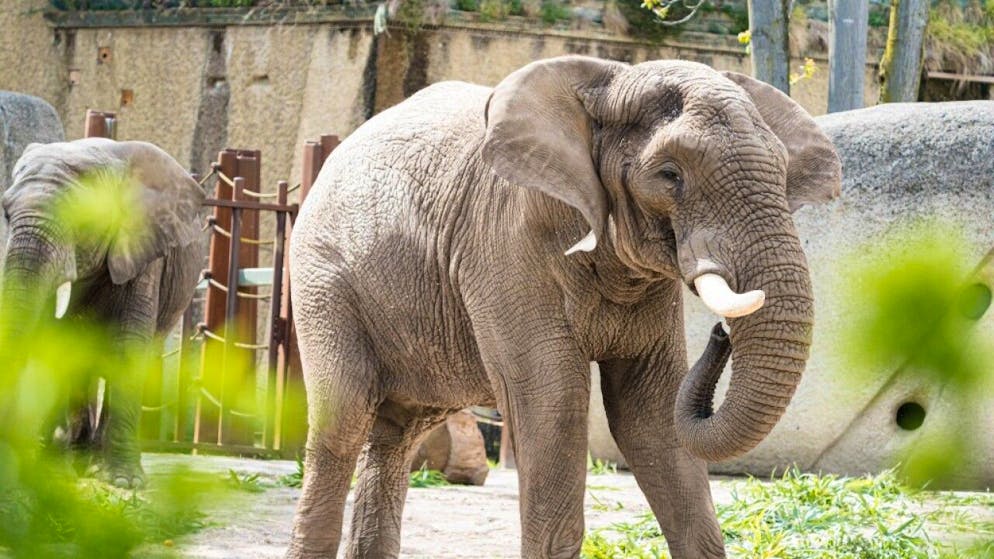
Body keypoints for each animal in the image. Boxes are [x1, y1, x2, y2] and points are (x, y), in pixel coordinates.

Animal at [0, 137, 206, 488]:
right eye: (6, 214)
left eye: (82, 220)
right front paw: (50, 469)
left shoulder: (143, 251)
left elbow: (127, 349)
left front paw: (124, 482)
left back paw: (96, 465)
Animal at [286, 56, 841, 558]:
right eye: (669, 174)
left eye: (781, 175)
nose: (722, 333)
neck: (611, 81)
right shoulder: (505, 244)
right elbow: (553, 402)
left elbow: (651, 418)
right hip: (323, 280)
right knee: (342, 424)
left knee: (396, 434)